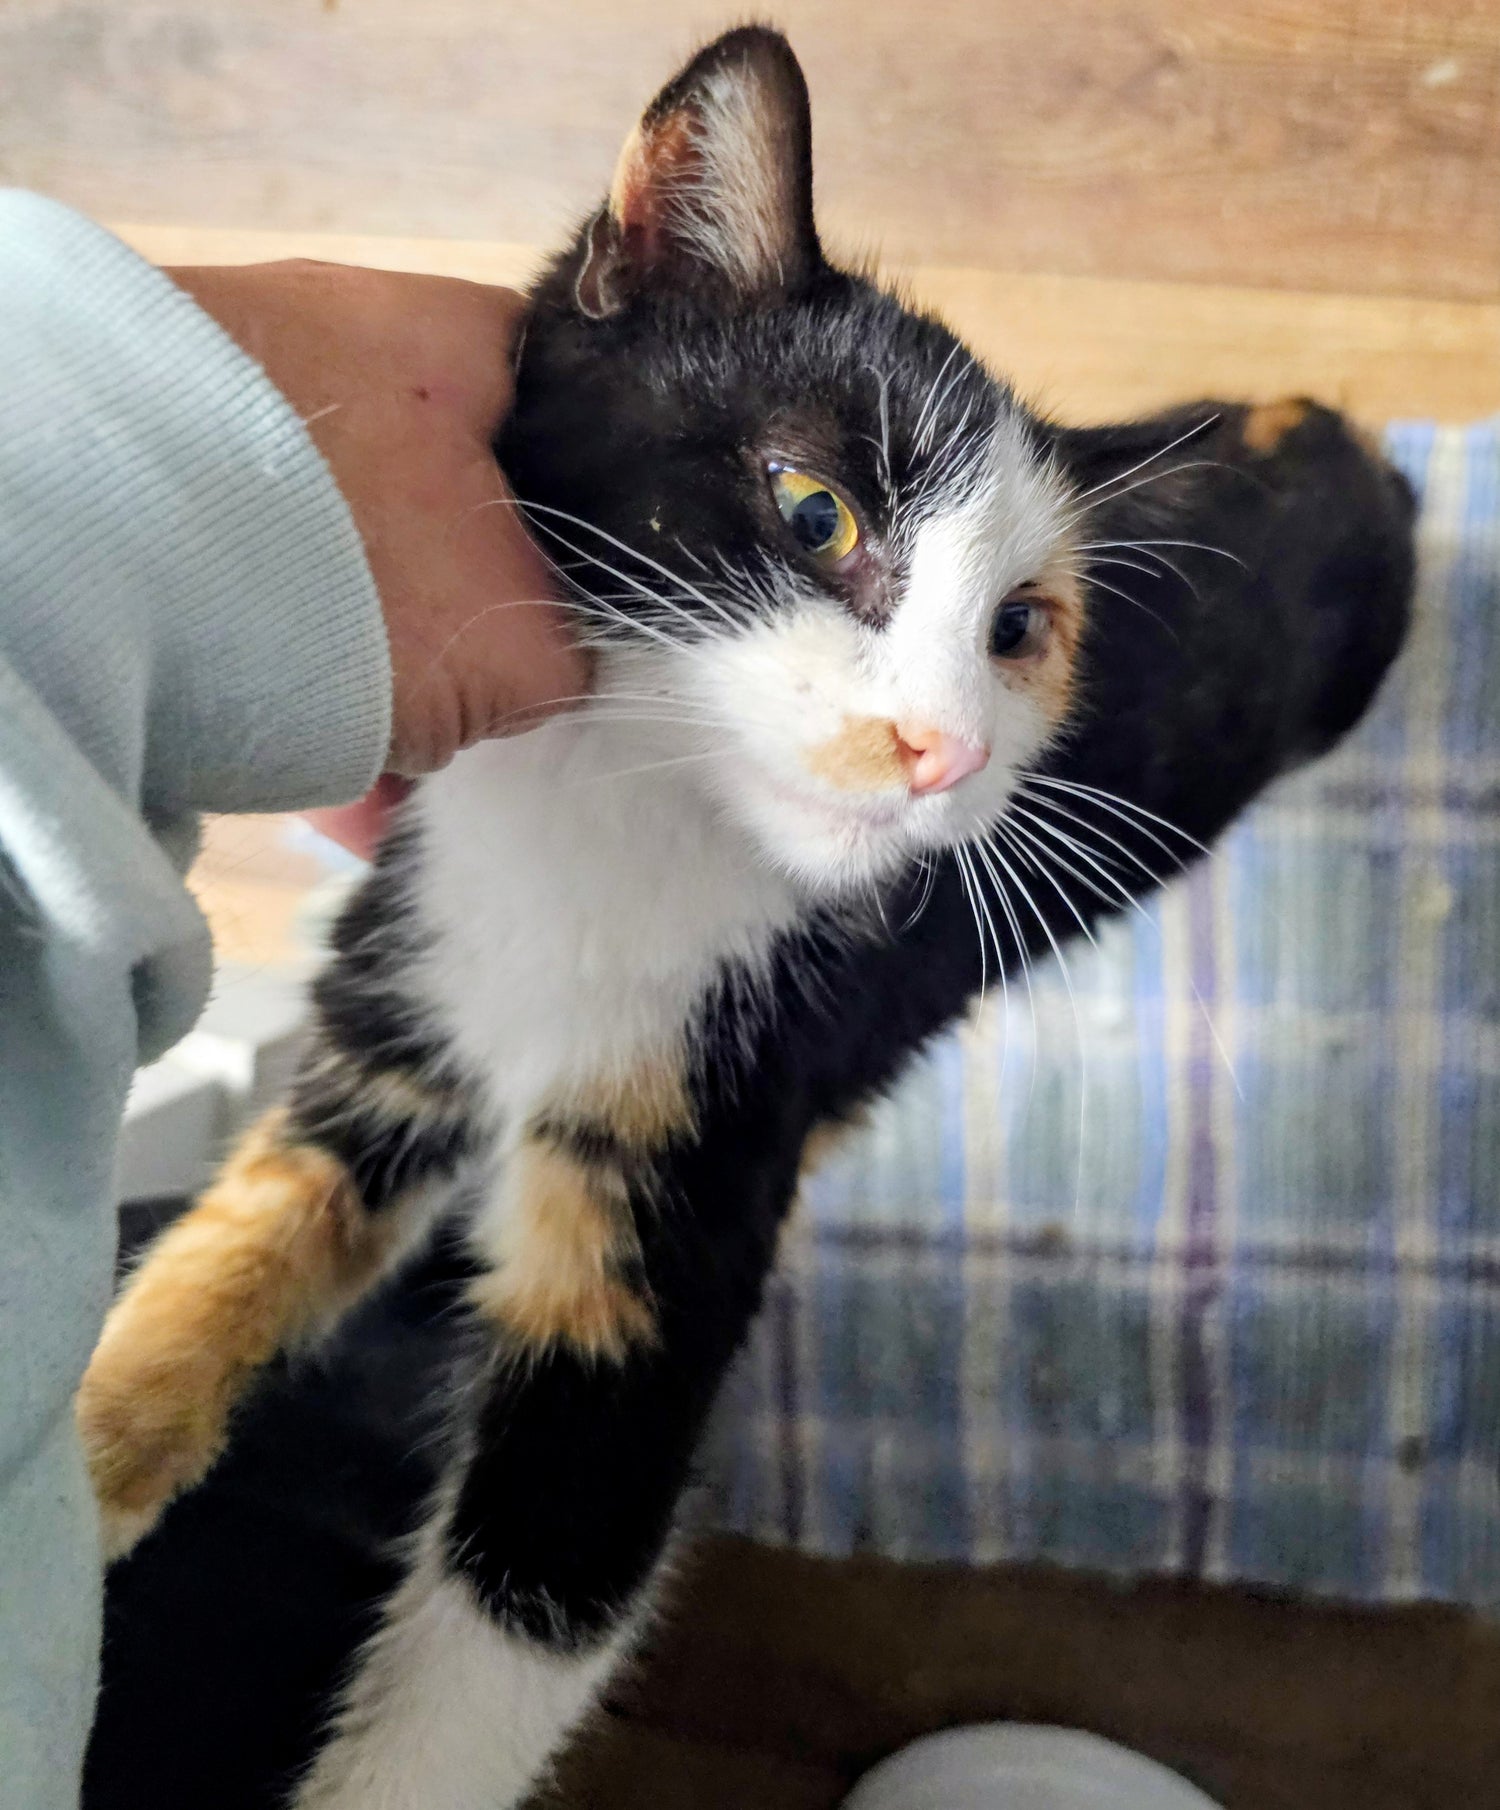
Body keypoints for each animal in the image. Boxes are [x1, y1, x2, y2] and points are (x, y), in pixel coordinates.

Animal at [77, 25, 1415, 1810]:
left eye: (1019, 628)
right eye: (813, 509)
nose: (946, 749)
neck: (625, 822)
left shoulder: (702, 1163)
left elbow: (528, 1603)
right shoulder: (403, 990)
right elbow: (234, 1231)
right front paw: (79, 1461)